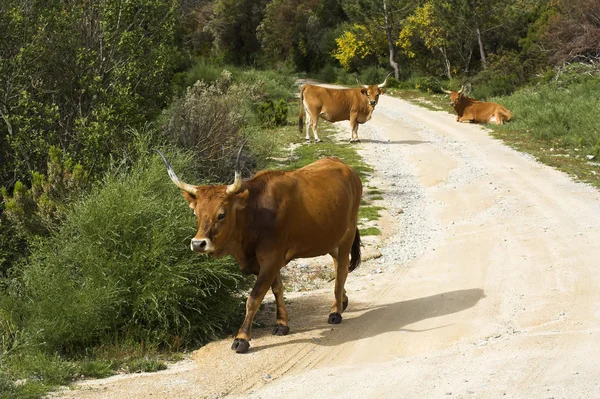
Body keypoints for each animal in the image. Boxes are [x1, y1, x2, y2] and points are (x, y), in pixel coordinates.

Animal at [155, 145, 360, 354]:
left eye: (222, 214)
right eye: (196, 213)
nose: (198, 243)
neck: (256, 212)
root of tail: (344, 166)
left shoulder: (271, 259)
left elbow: (254, 297)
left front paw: (242, 338)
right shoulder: (264, 262)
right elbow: (277, 288)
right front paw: (282, 324)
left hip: (348, 233)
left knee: (341, 269)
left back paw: (336, 312)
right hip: (330, 238)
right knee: (338, 265)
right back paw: (341, 301)